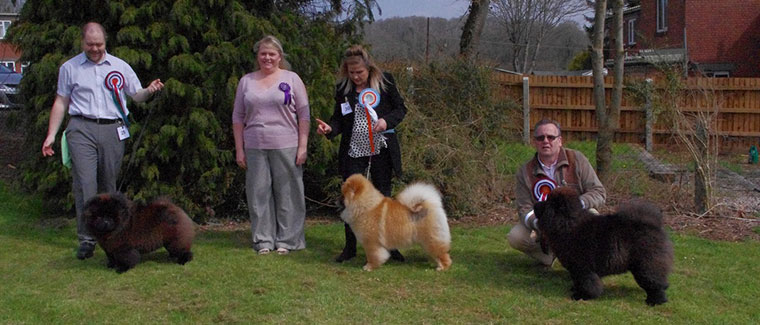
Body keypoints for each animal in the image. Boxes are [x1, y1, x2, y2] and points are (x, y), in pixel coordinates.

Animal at [532, 186, 672, 306]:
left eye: (547, 203)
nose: (535, 204)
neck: (568, 224)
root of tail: (654, 225)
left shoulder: (583, 268)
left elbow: (587, 283)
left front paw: (582, 296)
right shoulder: (576, 269)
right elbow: (578, 281)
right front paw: (575, 290)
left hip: (646, 265)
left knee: (655, 283)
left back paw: (655, 301)